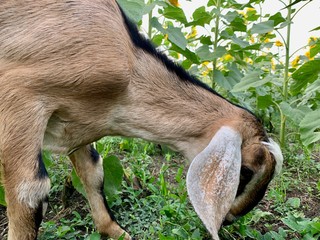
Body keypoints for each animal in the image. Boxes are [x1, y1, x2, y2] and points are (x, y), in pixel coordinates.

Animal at [0, 0, 282, 239]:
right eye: (245, 171)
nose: (231, 218)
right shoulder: (19, 98)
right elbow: (29, 194)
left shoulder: (78, 121)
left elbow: (93, 170)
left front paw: (114, 231)